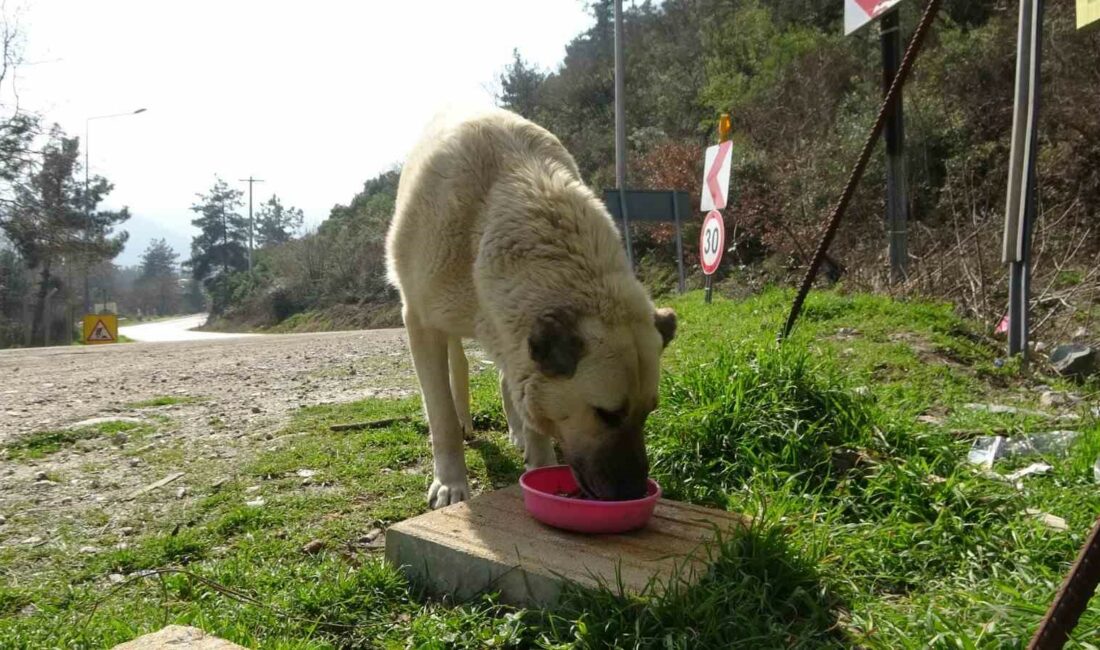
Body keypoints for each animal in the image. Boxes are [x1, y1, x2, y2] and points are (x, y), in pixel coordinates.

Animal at [391, 106, 673, 508]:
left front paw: (539, 461)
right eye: (606, 414)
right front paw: (451, 482)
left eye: (648, 411)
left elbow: (531, 404)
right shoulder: (419, 322)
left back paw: (518, 433)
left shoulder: (514, 338)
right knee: (457, 369)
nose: (633, 492)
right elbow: (439, 414)